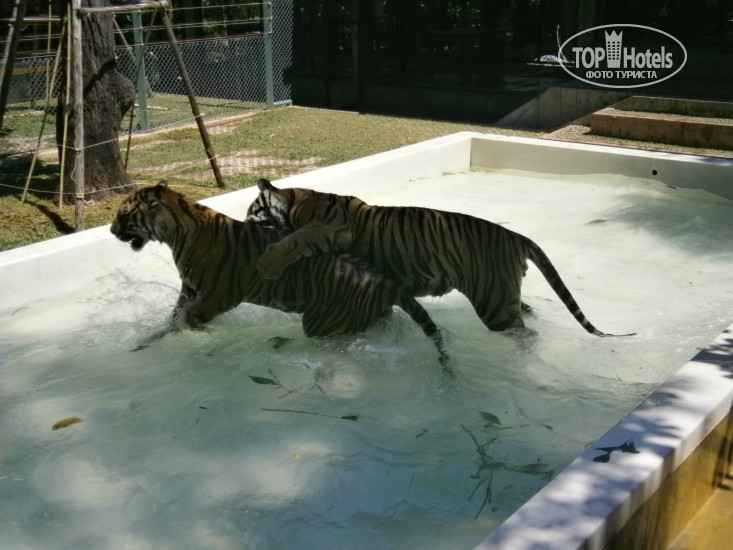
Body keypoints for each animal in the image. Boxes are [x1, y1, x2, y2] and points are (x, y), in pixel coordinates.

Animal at [110, 181, 449, 363]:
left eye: (123, 213)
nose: (112, 230)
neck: (176, 232)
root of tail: (390, 284)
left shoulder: (217, 295)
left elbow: (187, 319)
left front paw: (199, 334)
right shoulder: (189, 289)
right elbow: (172, 319)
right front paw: (149, 340)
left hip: (320, 323)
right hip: (369, 313)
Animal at [245, 178, 635, 338]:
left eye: (252, 213)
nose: (244, 225)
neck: (298, 202)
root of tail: (516, 236)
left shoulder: (331, 228)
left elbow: (294, 240)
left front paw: (266, 264)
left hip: (494, 302)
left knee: (522, 332)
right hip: (507, 292)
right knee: (528, 312)